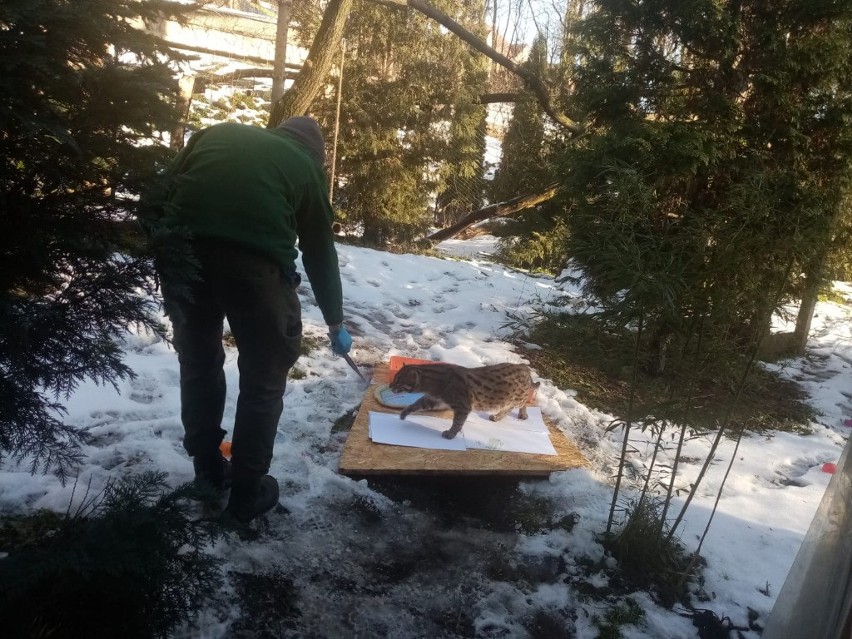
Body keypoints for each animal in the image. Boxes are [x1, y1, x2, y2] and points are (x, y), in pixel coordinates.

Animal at [388, 364, 540, 440]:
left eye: (398, 381)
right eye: (394, 378)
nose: (390, 386)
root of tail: (525, 367)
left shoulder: (463, 406)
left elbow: (457, 422)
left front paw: (451, 433)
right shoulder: (435, 399)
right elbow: (417, 404)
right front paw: (405, 412)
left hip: (517, 396)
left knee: (522, 402)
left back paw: (520, 414)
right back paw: (499, 416)